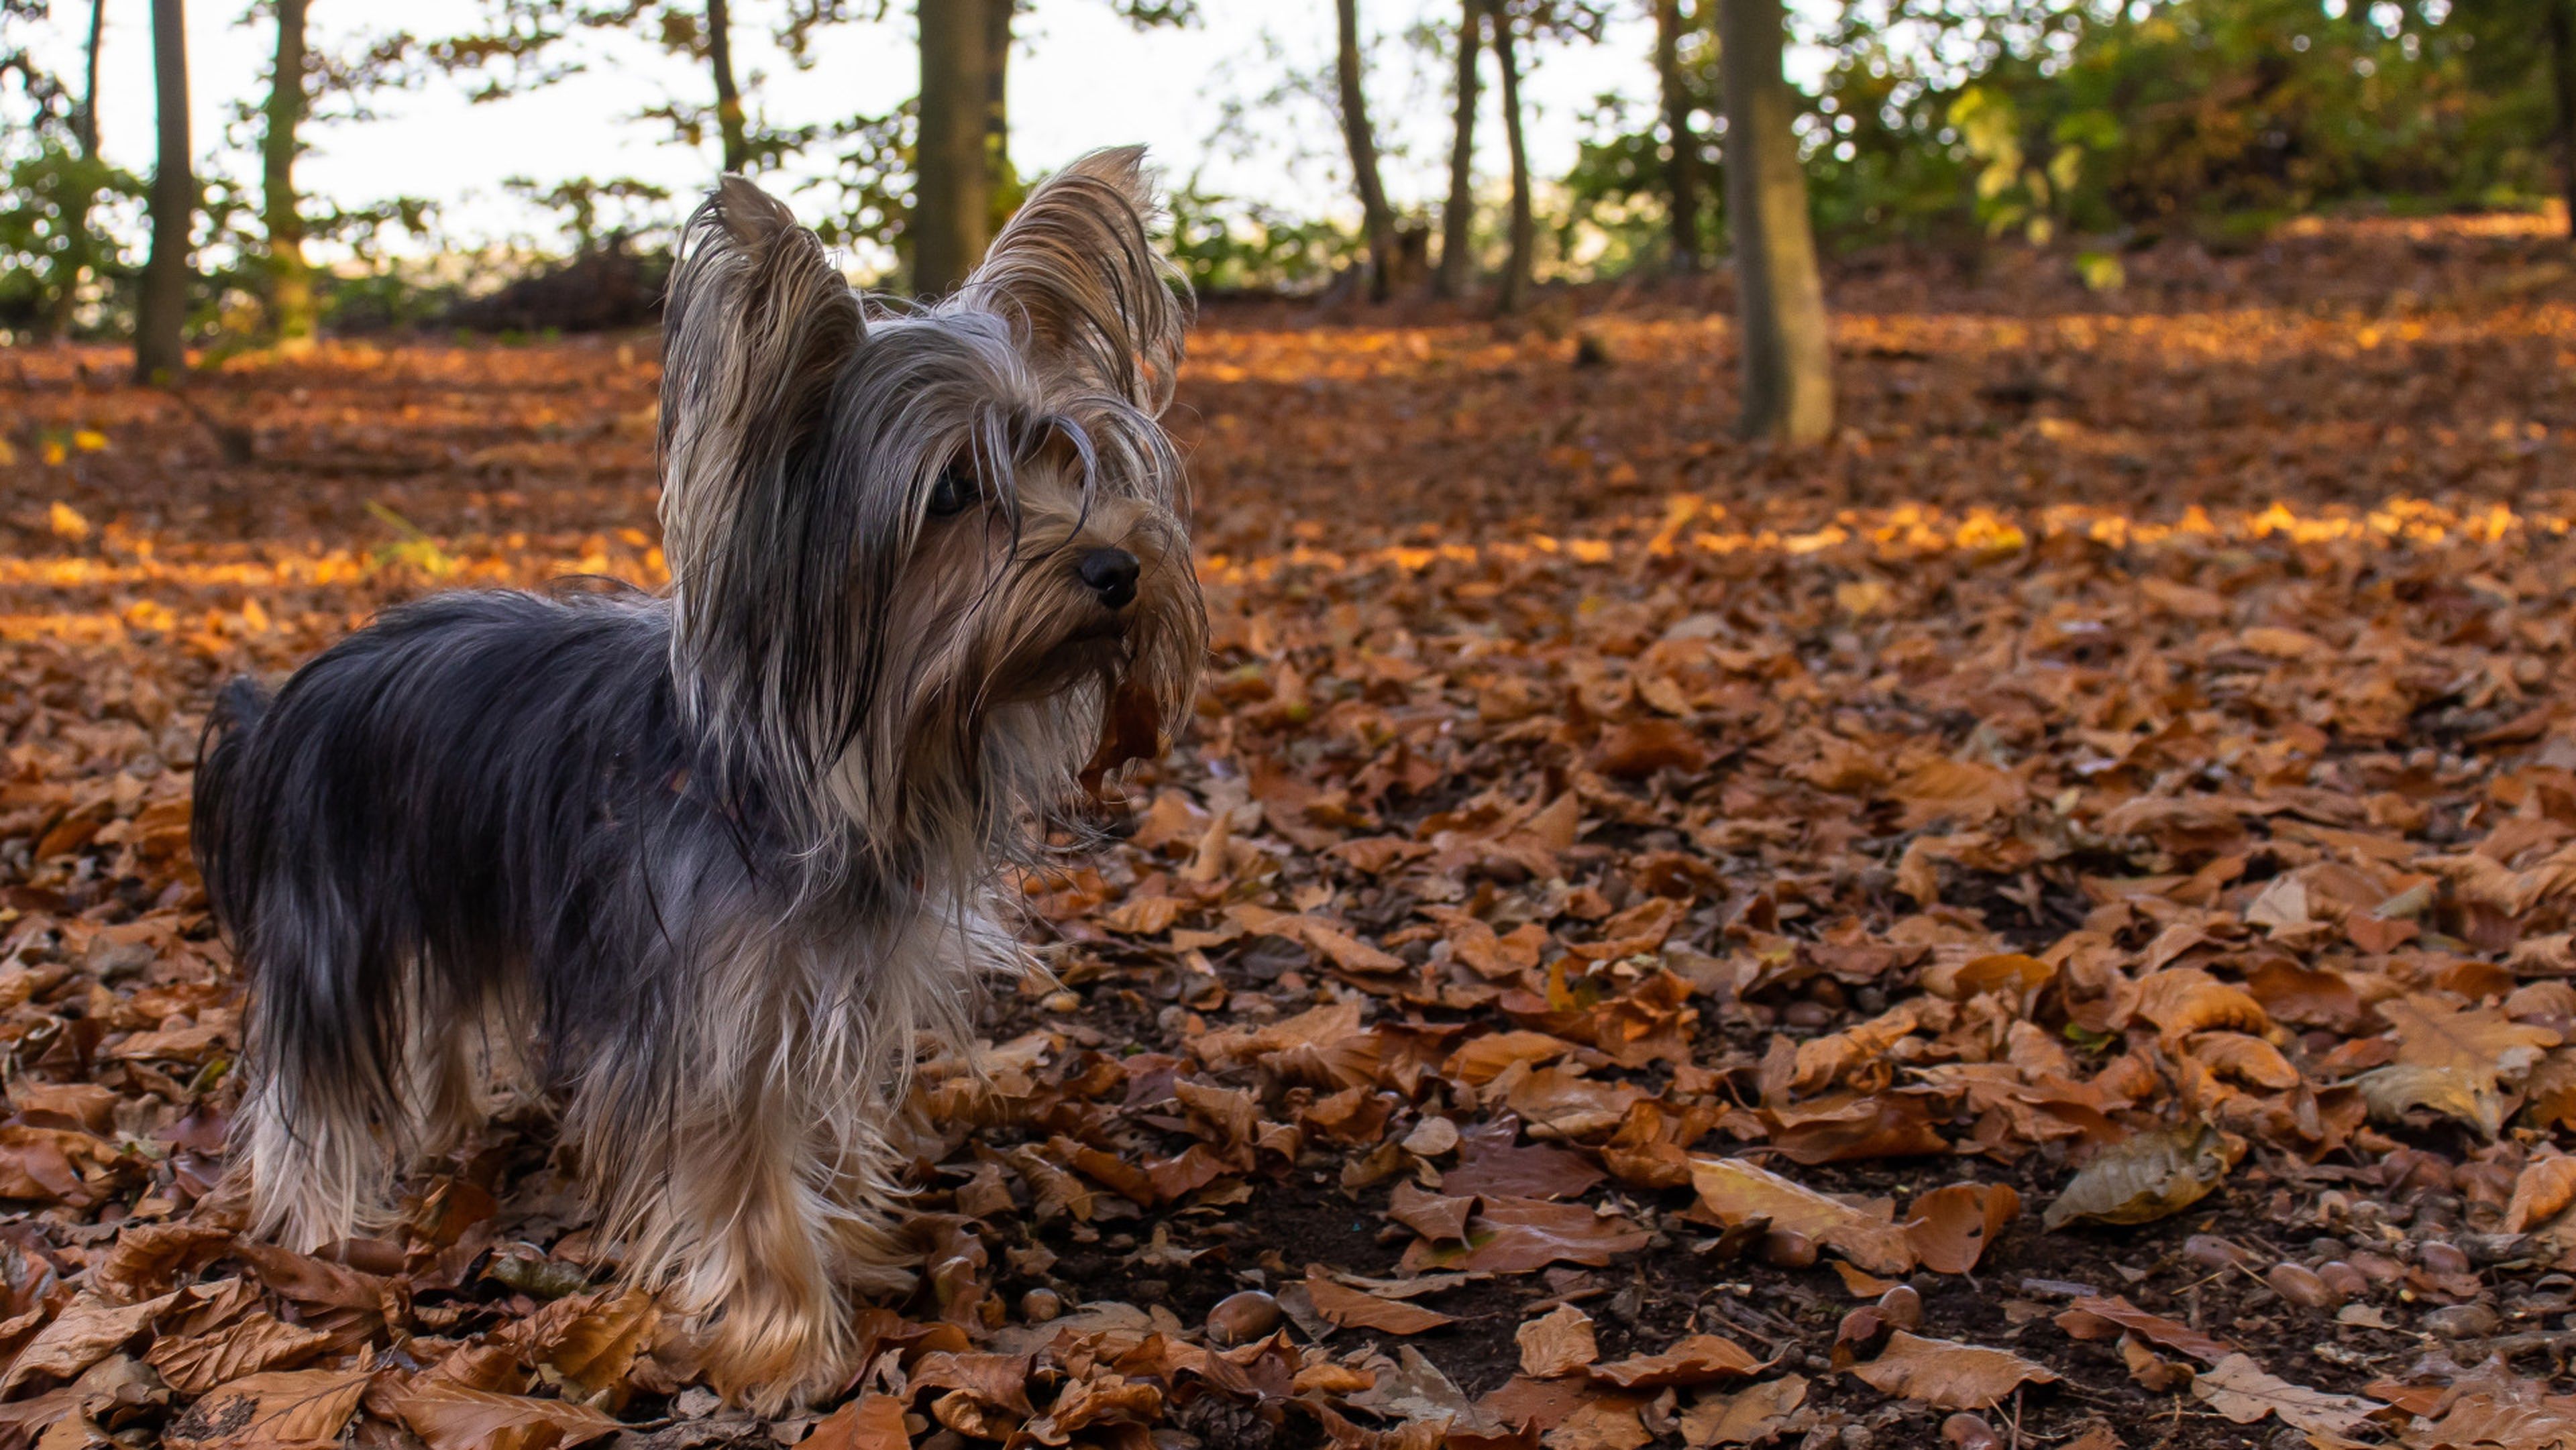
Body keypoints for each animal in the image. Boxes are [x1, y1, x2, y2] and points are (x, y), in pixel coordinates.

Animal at [195, 150, 1200, 1411]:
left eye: (1073, 459)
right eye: (955, 493)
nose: (1118, 566)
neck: (841, 763)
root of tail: (289, 699)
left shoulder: (830, 986)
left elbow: (823, 1132)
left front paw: (856, 1242)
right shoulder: (716, 1014)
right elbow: (744, 1176)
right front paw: (786, 1340)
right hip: (335, 921)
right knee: (310, 1090)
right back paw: (318, 1226)